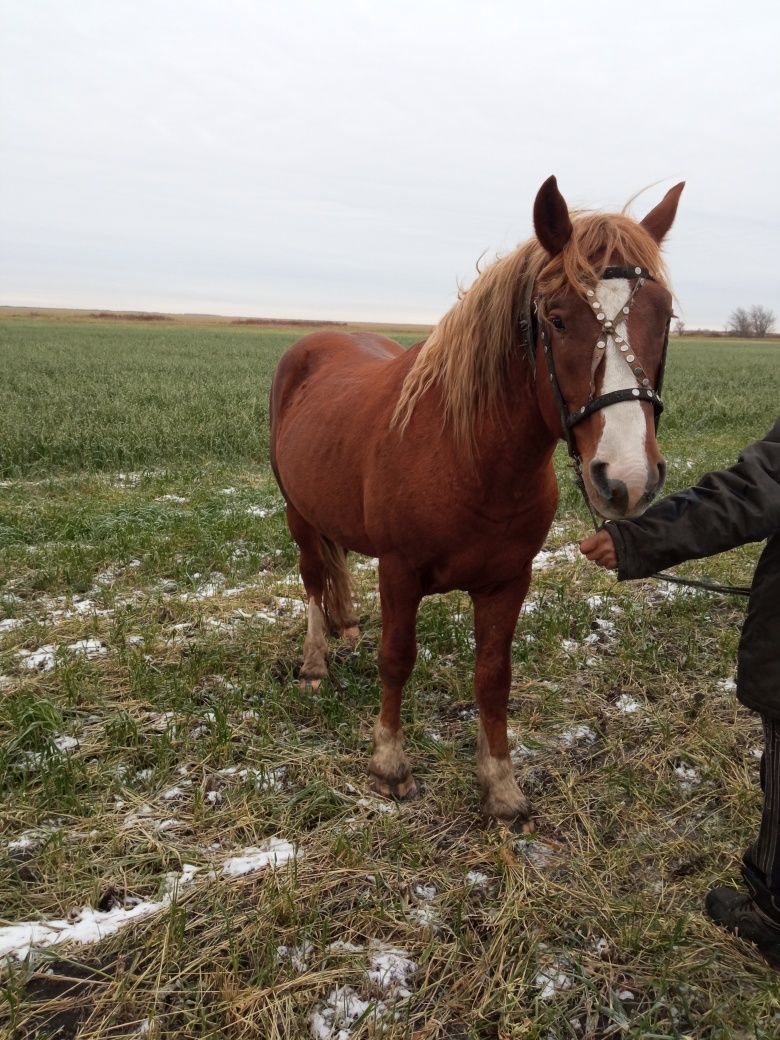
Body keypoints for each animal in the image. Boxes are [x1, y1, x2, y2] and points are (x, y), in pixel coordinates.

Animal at [272, 176, 686, 827]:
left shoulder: (508, 580)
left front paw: (500, 787)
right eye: (558, 320)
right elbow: (397, 658)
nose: (627, 478)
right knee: (314, 578)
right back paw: (315, 661)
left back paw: (345, 627)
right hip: (299, 513)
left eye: (664, 316)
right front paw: (389, 765)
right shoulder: (400, 572)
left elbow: (494, 677)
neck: (469, 459)